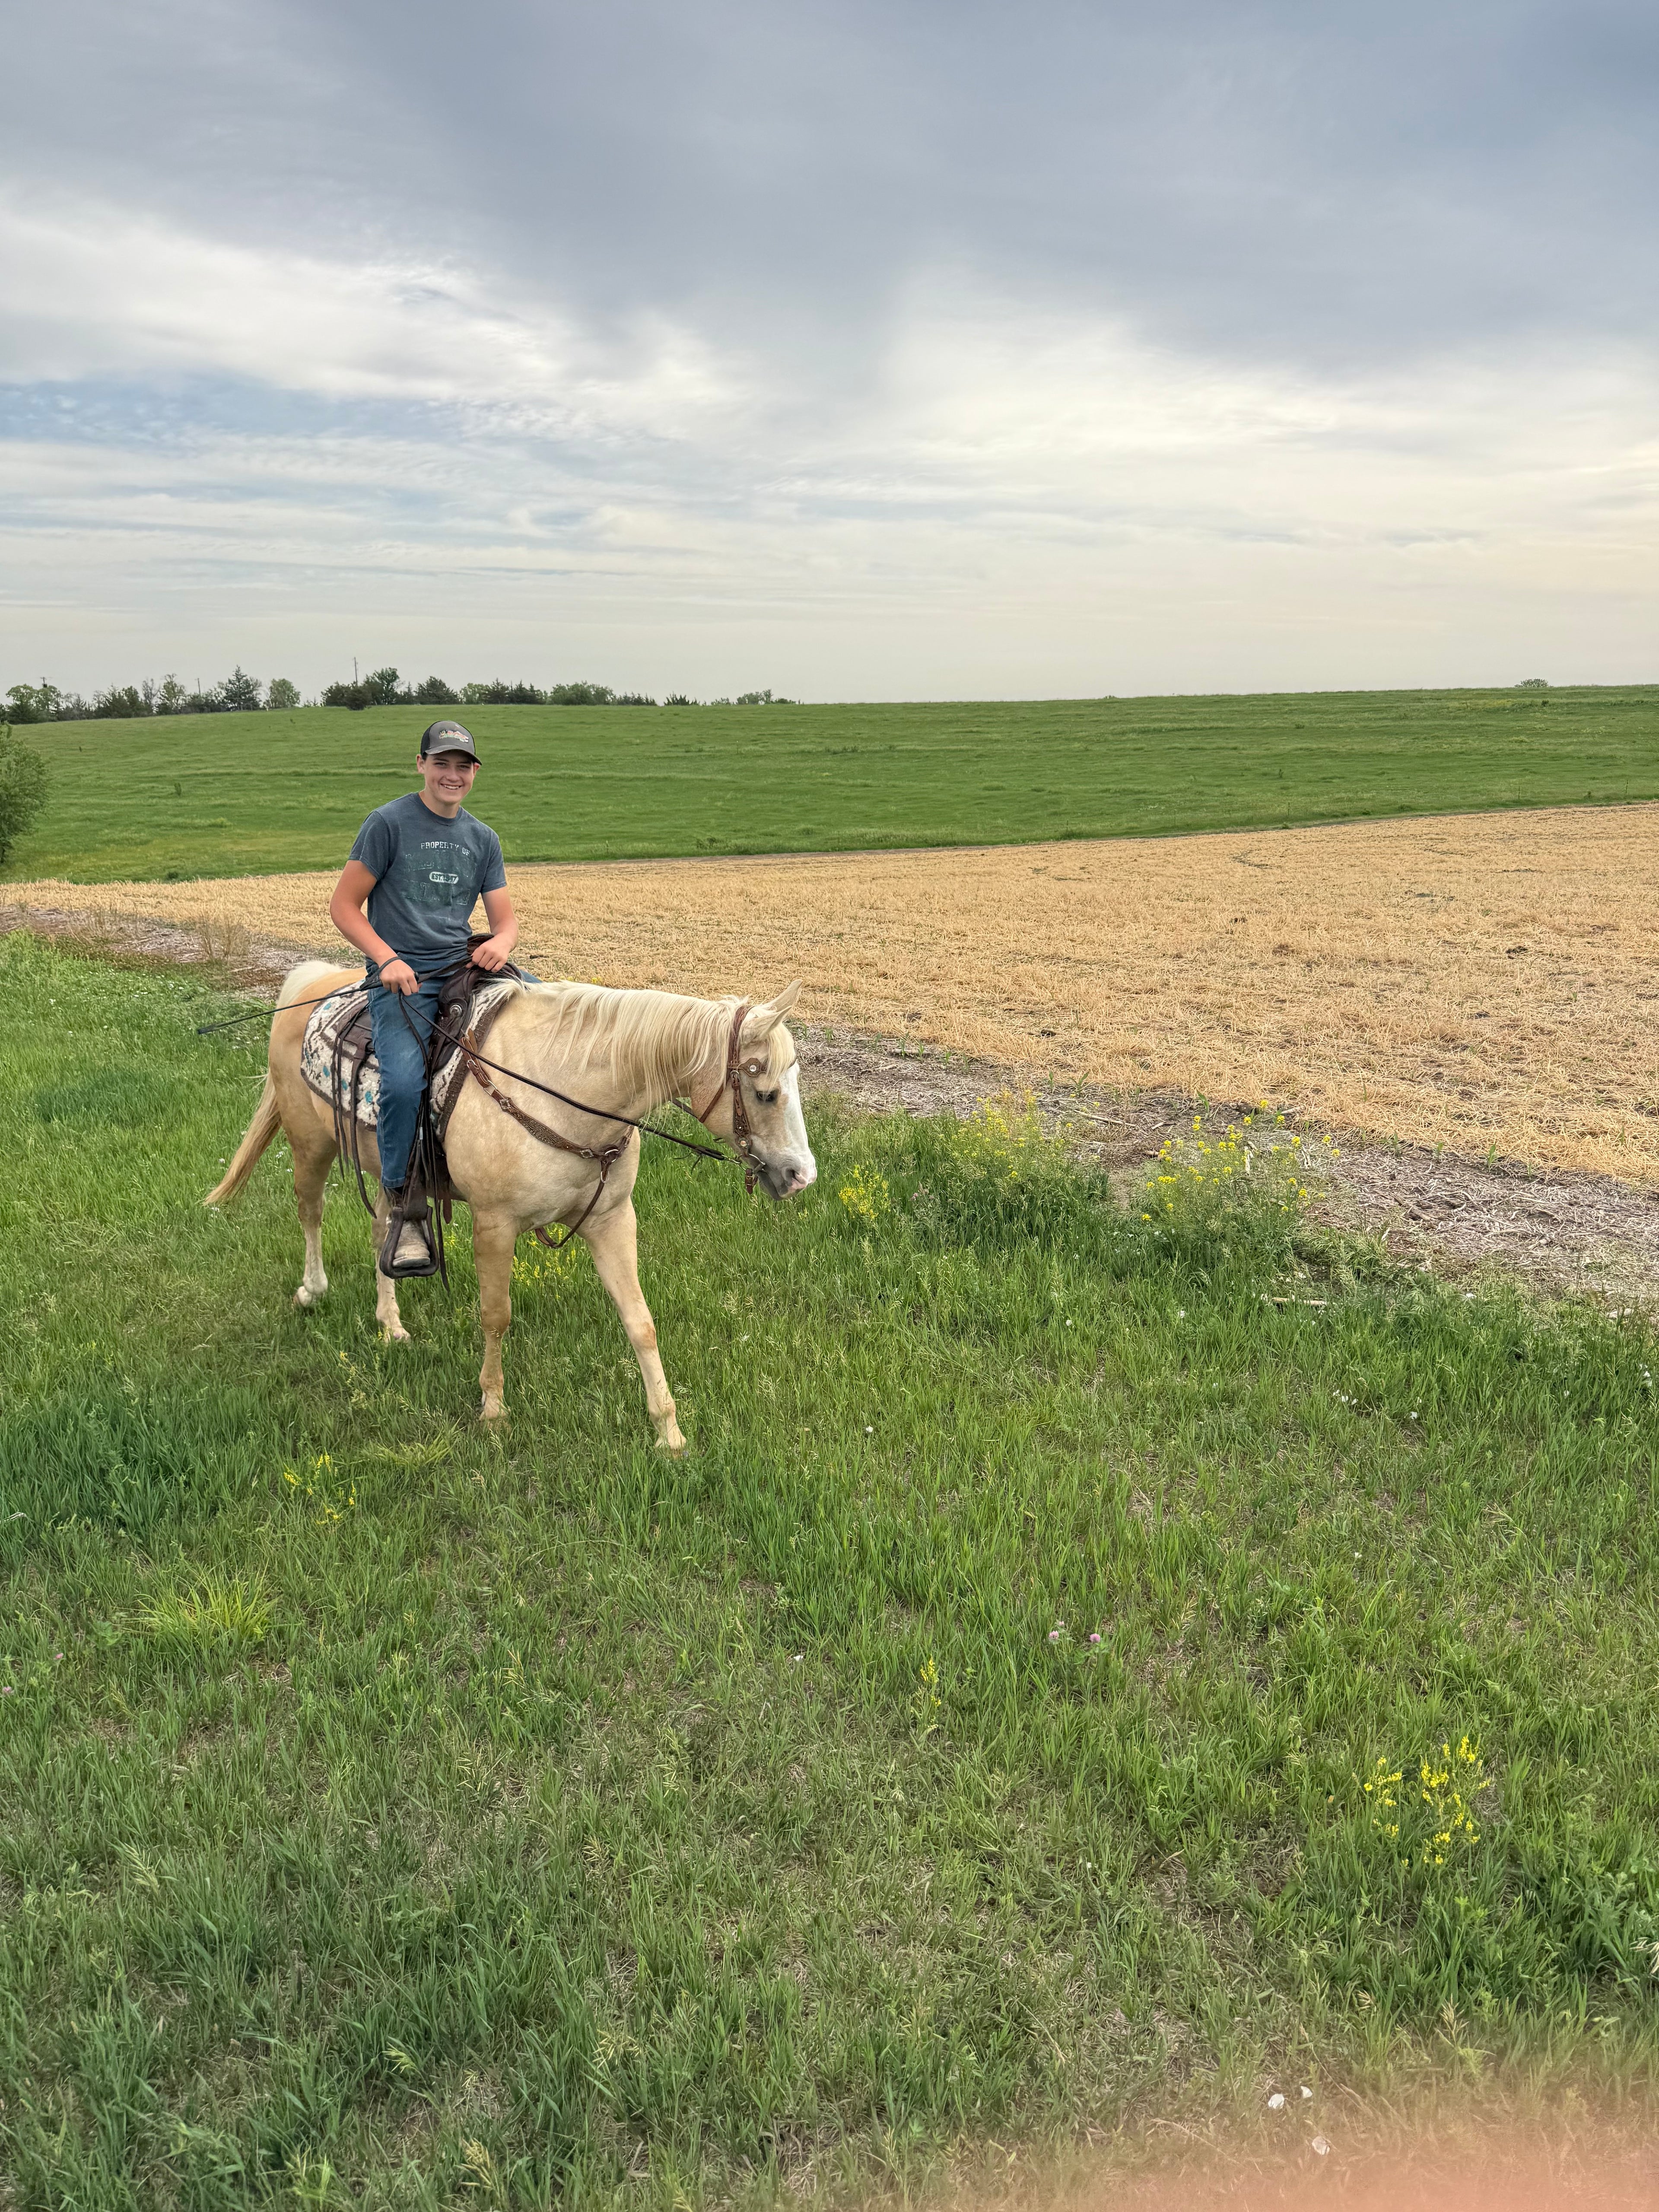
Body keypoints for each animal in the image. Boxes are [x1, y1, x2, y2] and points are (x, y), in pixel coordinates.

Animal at [204, 964, 816, 1446]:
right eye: (765, 1093)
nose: (801, 1176)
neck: (565, 1091)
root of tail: (311, 981)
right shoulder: (494, 1225)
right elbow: (495, 1316)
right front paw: (494, 1409)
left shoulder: (612, 1220)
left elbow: (640, 1321)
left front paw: (668, 1430)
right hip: (311, 1143)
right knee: (309, 1212)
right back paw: (312, 1290)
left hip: (391, 1168)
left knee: (383, 1229)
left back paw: (391, 1323)